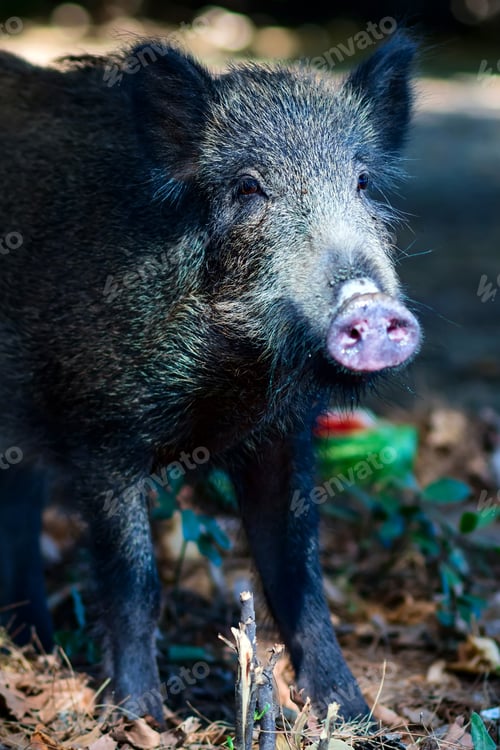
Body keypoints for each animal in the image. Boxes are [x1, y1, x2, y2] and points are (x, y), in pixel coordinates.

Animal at [0, 31, 420, 723]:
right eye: (248, 187)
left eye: (361, 182)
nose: (367, 302)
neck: (231, 380)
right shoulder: (100, 432)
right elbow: (135, 580)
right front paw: (142, 716)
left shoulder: (282, 437)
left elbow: (298, 575)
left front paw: (351, 712)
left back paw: (34, 640)